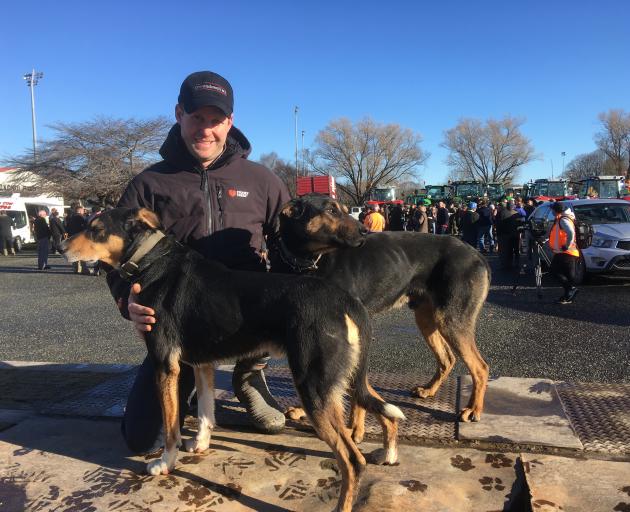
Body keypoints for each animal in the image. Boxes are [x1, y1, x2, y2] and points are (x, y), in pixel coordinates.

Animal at [60, 206, 404, 512]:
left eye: (96, 229)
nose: (62, 246)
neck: (151, 260)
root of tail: (346, 300)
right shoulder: (201, 364)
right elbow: (204, 412)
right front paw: (200, 445)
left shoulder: (166, 365)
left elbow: (171, 427)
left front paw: (165, 463)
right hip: (343, 377)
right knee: (380, 408)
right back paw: (388, 453)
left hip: (314, 387)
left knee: (352, 460)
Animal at [276, 194, 494, 426]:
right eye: (331, 211)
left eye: (343, 209)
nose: (364, 230)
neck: (311, 261)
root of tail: (477, 254)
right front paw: (304, 409)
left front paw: (355, 425)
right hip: (426, 318)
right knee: (447, 359)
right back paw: (429, 390)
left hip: (451, 319)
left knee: (480, 367)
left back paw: (473, 409)